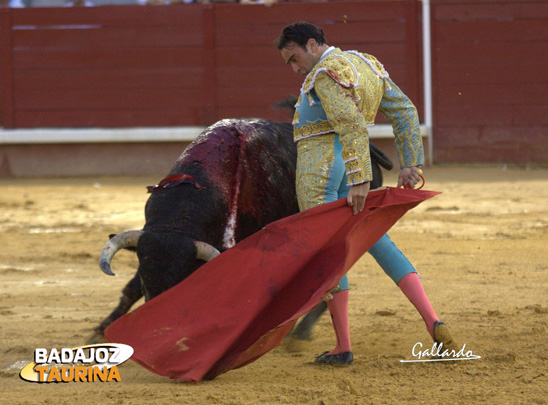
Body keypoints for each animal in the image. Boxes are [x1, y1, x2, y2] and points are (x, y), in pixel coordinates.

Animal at [92, 117, 392, 344]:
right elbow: (130, 289)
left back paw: (299, 334)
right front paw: (101, 329)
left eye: (181, 280)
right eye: (146, 276)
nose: (154, 326)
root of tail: (368, 148)